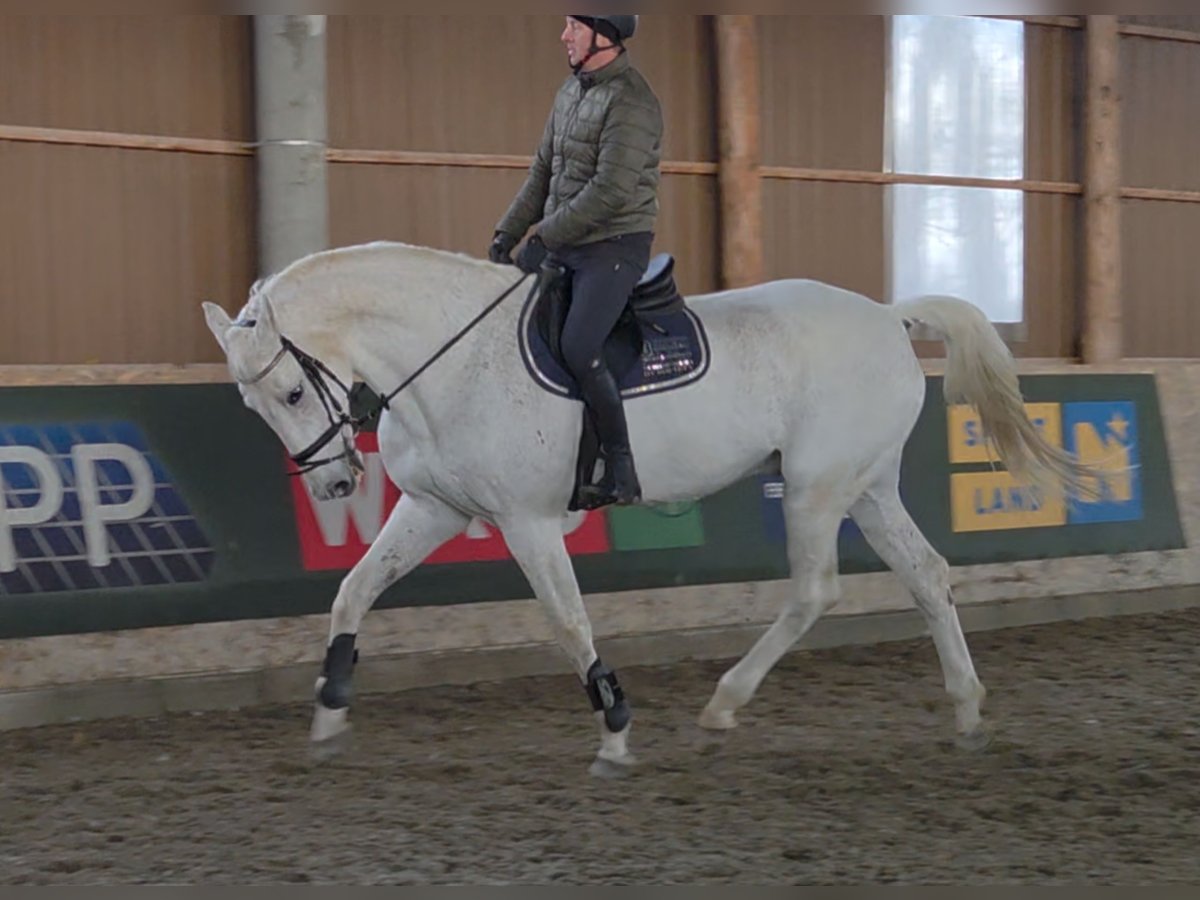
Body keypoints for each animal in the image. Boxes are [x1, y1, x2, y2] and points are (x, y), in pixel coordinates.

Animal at [203, 240, 1089, 776]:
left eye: (291, 392)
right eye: (255, 406)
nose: (334, 488)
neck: (451, 359)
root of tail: (885, 315)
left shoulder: (526, 521)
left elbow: (568, 624)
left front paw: (616, 730)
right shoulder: (433, 508)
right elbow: (353, 592)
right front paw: (328, 715)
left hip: (816, 487)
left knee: (814, 592)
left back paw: (724, 703)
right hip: (866, 487)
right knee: (928, 576)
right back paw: (967, 710)